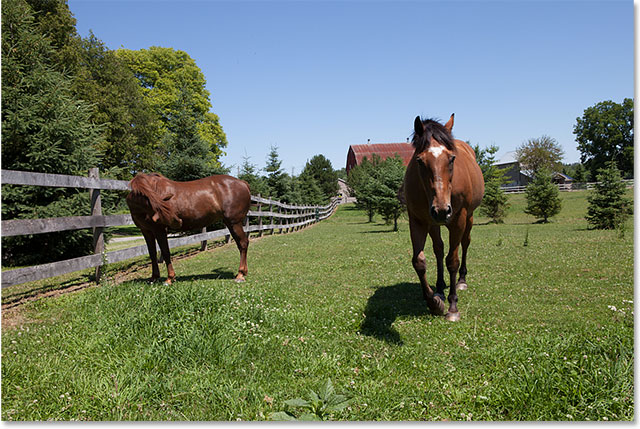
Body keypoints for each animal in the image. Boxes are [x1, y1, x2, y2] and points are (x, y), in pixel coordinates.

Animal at [404, 113, 484, 320]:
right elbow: (419, 261)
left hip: (468, 218)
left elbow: (452, 261)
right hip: (433, 224)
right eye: (419, 160)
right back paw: (439, 289)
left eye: (451, 158)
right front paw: (434, 303)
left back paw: (461, 280)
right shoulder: (418, 220)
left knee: (465, 244)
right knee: (439, 250)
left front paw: (453, 306)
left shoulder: (459, 220)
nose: (441, 210)